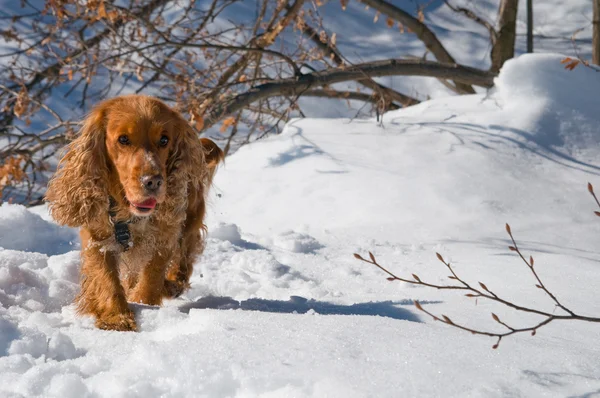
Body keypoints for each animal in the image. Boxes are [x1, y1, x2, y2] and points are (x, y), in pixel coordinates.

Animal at [44, 95, 223, 332]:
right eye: (123, 139)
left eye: (164, 140)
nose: (153, 181)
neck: (130, 216)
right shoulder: (97, 238)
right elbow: (106, 278)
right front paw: (116, 317)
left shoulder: (164, 236)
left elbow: (152, 274)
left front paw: (143, 303)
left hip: (190, 220)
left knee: (184, 258)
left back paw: (173, 283)